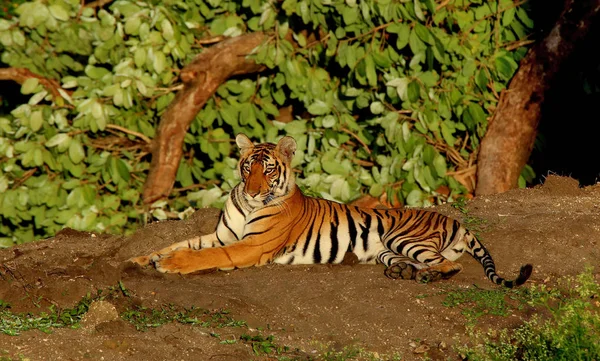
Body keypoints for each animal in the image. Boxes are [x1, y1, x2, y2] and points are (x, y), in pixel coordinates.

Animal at [129, 133, 532, 286]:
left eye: (268, 169)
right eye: (247, 167)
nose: (254, 191)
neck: (247, 203)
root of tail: (453, 219)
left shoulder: (250, 245)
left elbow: (203, 255)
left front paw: (169, 265)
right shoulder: (220, 234)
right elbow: (181, 243)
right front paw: (143, 258)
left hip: (403, 236)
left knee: (451, 265)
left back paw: (426, 277)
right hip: (387, 250)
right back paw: (402, 273)